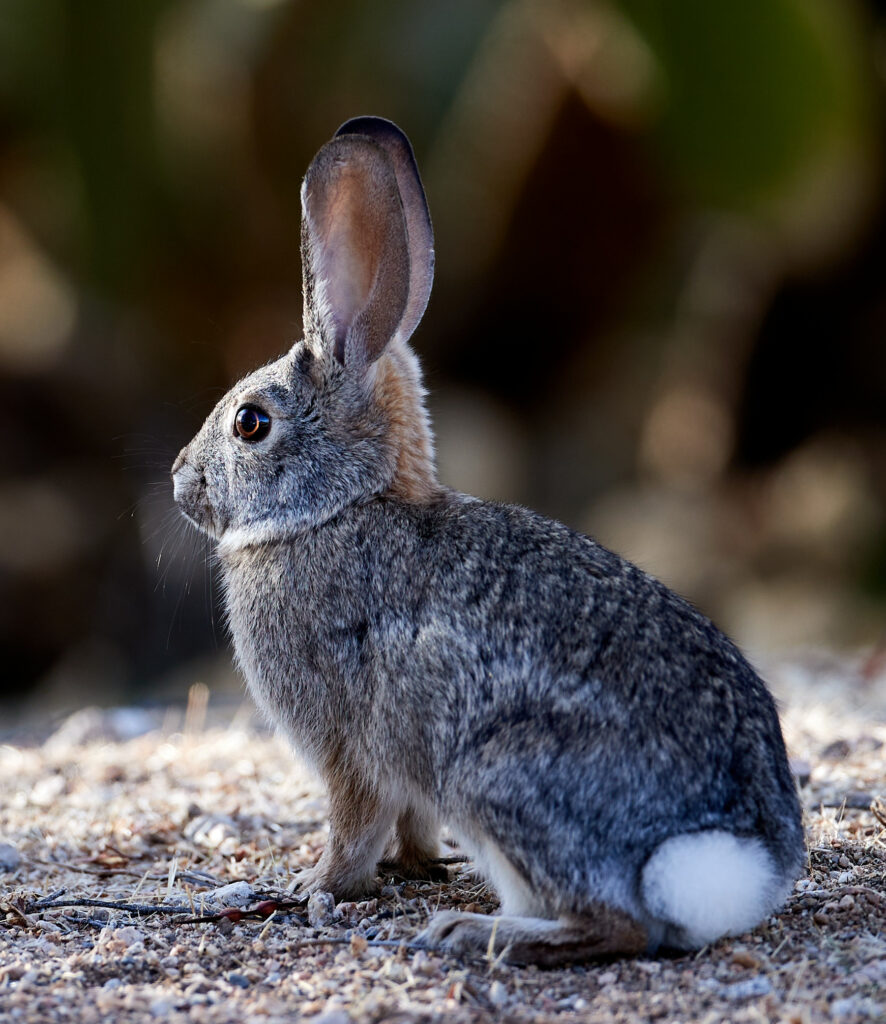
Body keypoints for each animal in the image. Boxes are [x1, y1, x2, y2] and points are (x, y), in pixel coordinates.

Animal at [171, 116, 805, 965]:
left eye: (250, 423)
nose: (180, 481)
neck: (338, 507)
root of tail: (736, 866)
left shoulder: (347, 745)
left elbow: (354, 822)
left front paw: (318, 886)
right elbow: (407, 823)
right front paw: (413, 867)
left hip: (494, 775)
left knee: (617, 924)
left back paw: (476, 931)